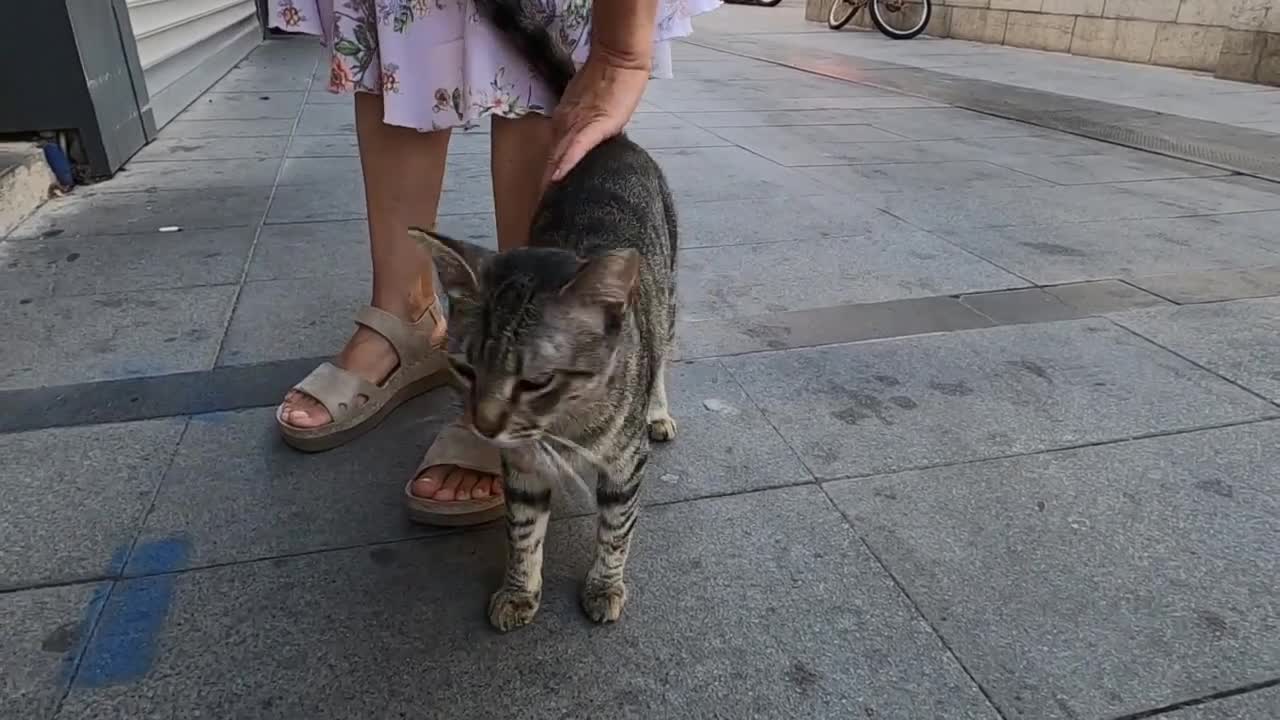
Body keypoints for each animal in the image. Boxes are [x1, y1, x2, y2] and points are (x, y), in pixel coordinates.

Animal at [412, 0, 680, 627]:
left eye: (536, 380)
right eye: (465, 370)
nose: (483, 425)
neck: (561, 427)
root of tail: (611, 141)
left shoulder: (623, 467)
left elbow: (616, 529)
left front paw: (605, 584)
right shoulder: (522, 468)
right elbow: (523, 530)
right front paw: (519, 589)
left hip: (670, 292)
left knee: (663, 357)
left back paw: (658, 409)